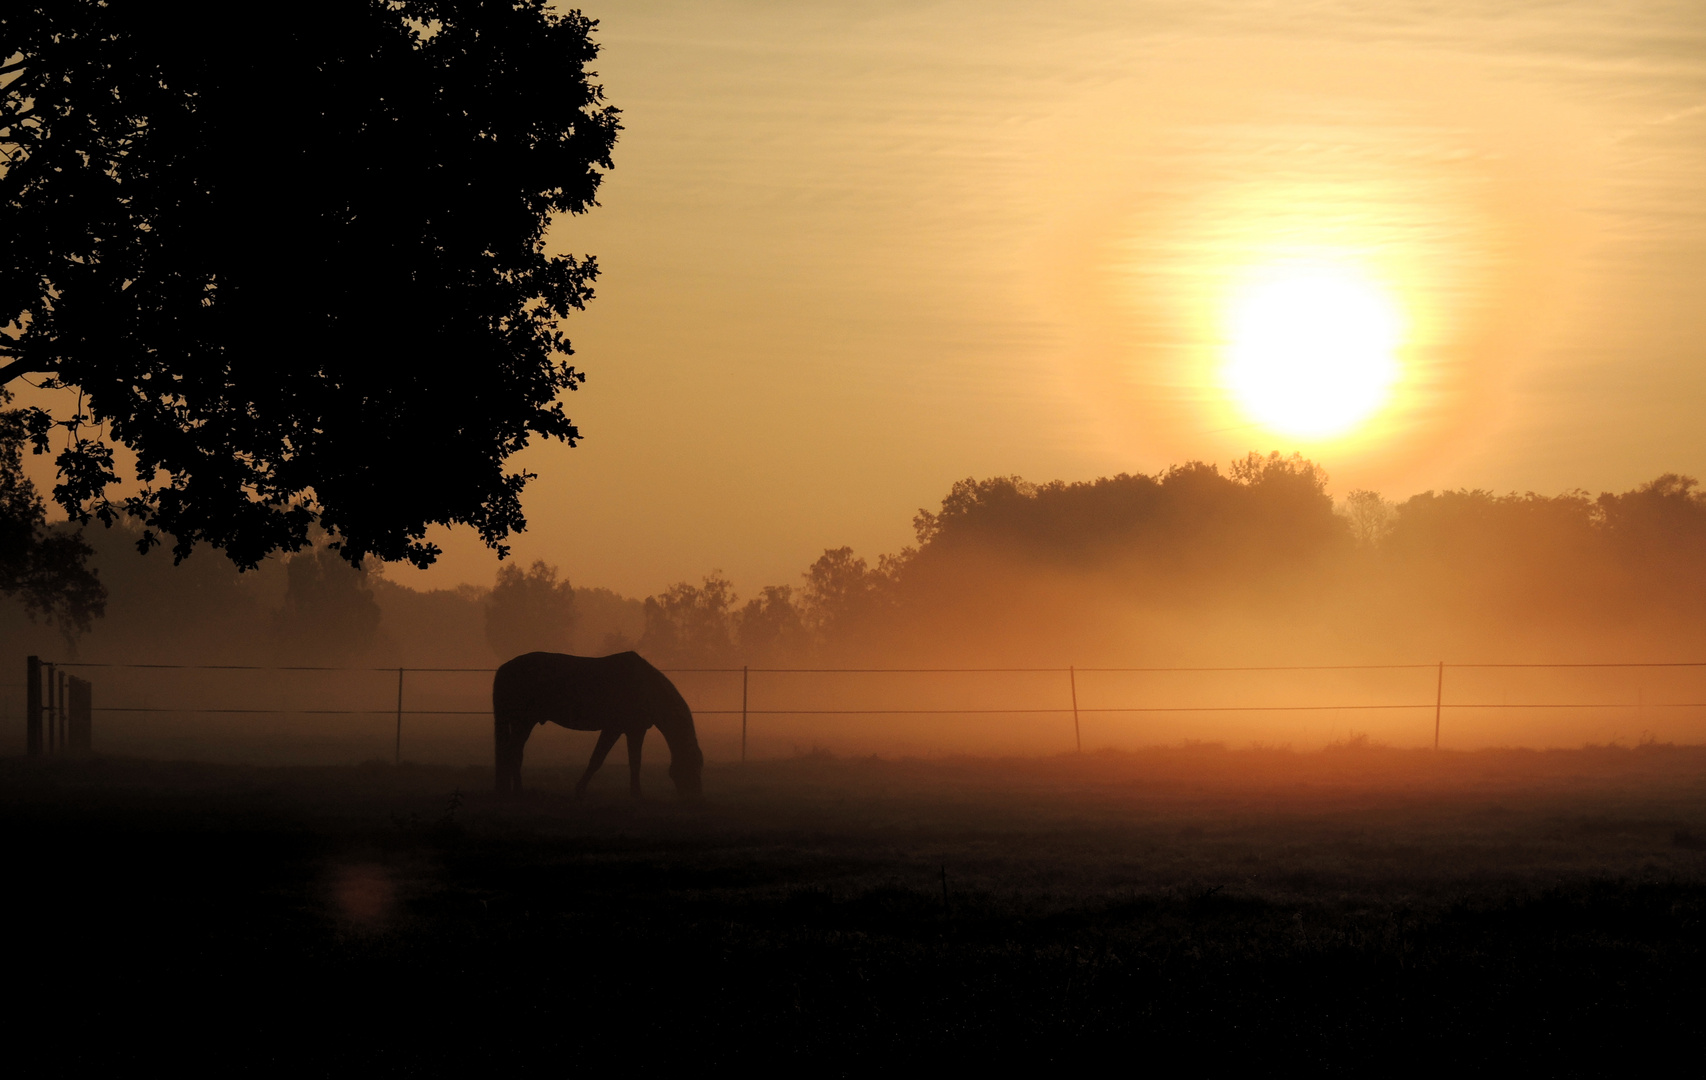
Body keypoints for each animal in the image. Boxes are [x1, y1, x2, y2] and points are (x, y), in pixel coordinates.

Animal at [491, 644, 702, 795]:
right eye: (694, 766)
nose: (695, 798)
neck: (647, 689)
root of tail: (504, 668)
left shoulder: (627, 729)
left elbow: (620, 760)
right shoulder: (621, 729)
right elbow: (606, 759)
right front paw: (634, 793)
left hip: (520, 722)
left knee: (514, 753)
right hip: (523, 722)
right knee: (512, 752)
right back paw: (518, 790)